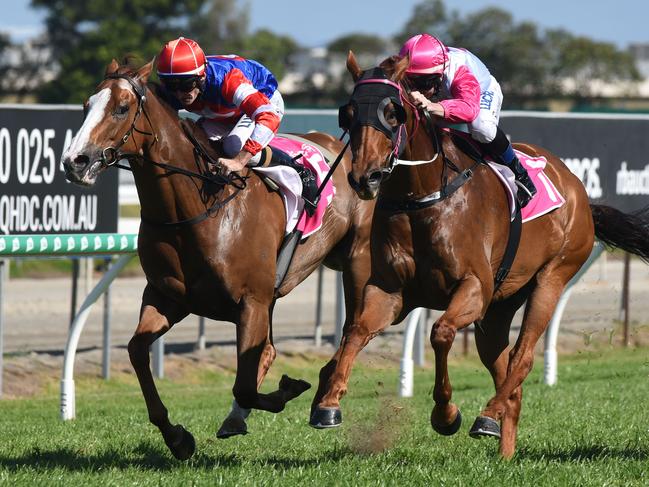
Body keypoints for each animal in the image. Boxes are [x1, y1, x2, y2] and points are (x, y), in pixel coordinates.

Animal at [60, 60, 374, 462]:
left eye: (121, 108)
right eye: (87, 105)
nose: (75, 161)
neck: (196, 208)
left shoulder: (252, 300)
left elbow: (245, 384)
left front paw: (287, 391)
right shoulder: (168, 298)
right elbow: (137, 350)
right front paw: (177, 437)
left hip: (356, 260)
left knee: (355, 328)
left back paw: (326, 402)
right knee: (270, 349)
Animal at [306, 53, 648, 458]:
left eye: (392, 113)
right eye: (348, 113)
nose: (365, 178)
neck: (421, 197)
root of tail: (580, 194)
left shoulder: (473, 287)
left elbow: (440, 332)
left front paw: (446, 413)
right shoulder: (390, 292)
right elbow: (356, 331)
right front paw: (328, 404)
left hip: (552, 277)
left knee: (522, 358)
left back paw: (486, 417)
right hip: (500, 306)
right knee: (505, 371)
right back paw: (504, 451)